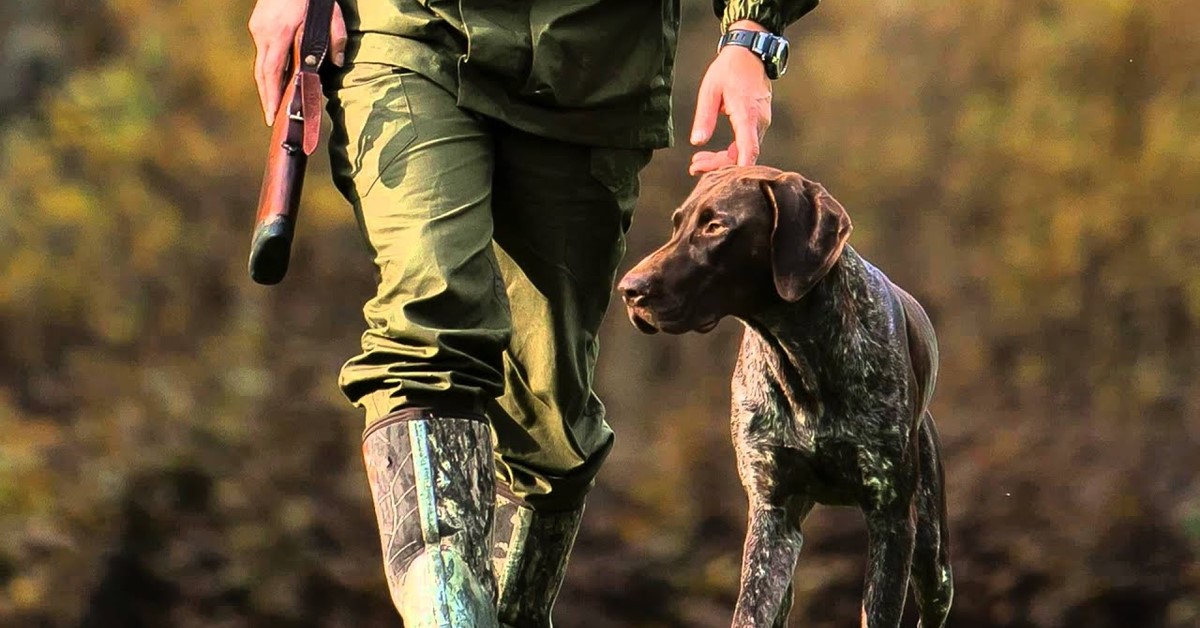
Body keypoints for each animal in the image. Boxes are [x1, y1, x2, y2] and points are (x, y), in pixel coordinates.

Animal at [619, 166, 945, 628]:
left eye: (715, 226)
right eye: (677, 223)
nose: (629, 289)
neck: (799, 354)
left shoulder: (892, 518)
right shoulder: (772, 517)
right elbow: (751, 611)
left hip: (933, 560)